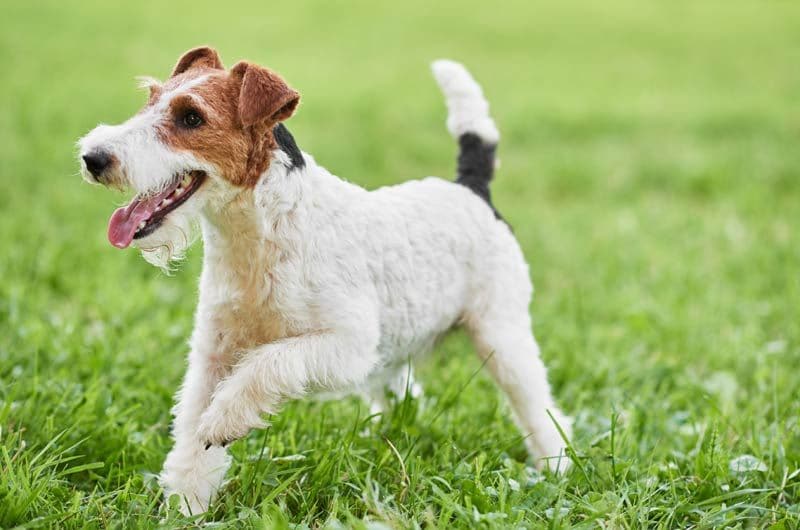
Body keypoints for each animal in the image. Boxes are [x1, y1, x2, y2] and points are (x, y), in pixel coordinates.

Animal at [78, 48, 572, 512]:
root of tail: (472, 188)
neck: (262, 234)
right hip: (399, 348)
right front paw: (186, 504)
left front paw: (224, 422)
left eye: (191, 117)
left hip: (501, 335)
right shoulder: (213, 353)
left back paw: (556, 467)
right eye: (150, 99)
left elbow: (266, 364)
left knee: (541, 409)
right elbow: (191, 440)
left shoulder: (346, 345)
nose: (92, 157)